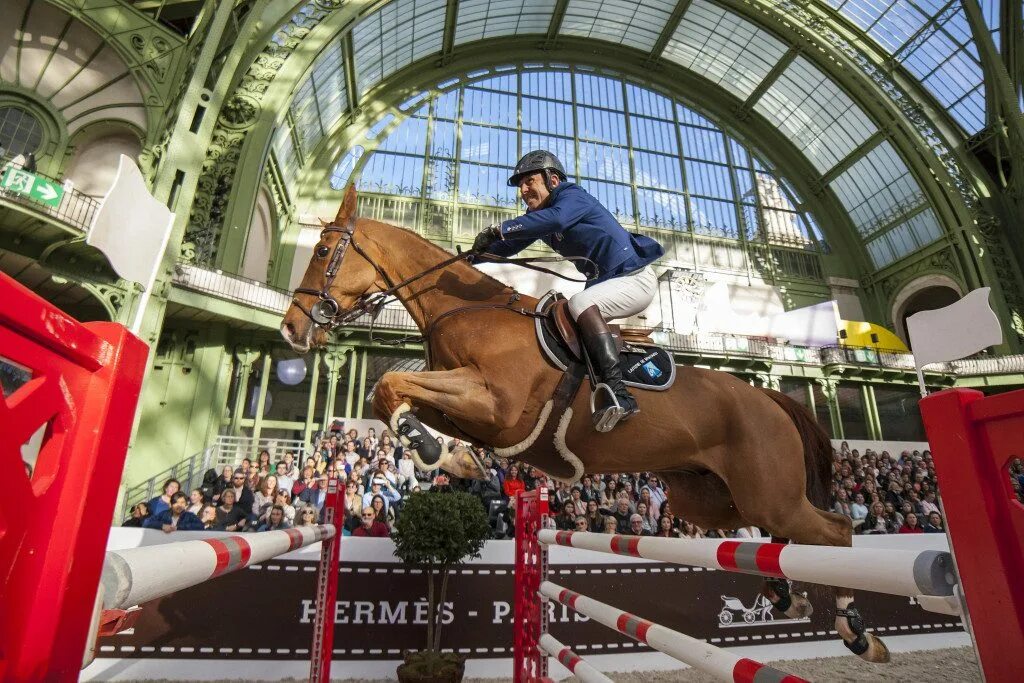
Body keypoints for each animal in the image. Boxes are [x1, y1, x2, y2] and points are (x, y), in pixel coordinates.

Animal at [280, 187, 888, 663]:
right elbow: (389, 395)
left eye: (323, 250)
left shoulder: (495, 405)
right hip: (714, 501)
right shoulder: (468, 406)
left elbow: (388, 387)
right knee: (782, 535)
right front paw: (451, 457)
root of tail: (768, 396)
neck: (469, 312)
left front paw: (433, 453)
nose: (291, 329)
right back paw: (786, 595)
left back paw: (857, 632)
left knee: (835, 531)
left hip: (766, 492)